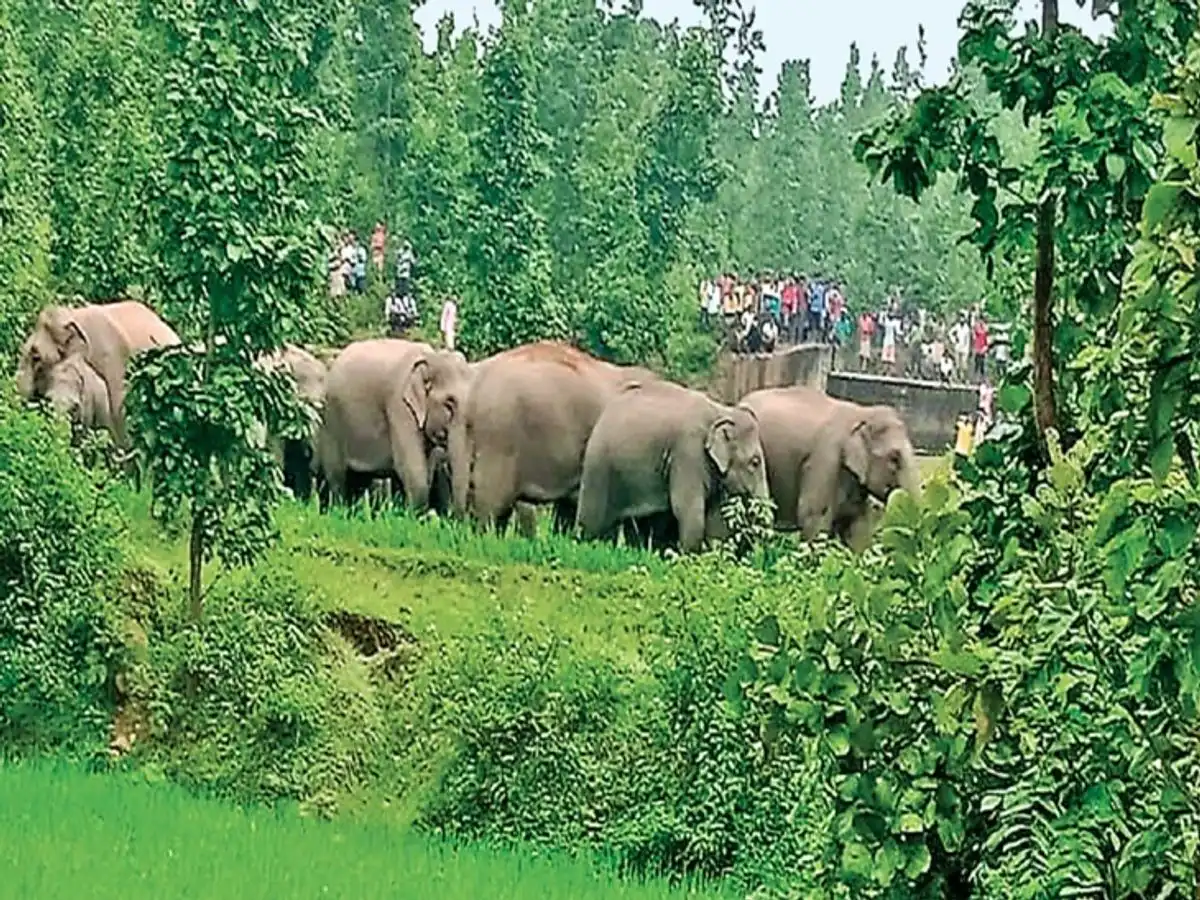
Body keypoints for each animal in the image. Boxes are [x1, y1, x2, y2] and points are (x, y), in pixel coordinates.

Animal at [316, 338, 471, 511]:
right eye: (449, 403)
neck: (431, 356)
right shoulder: (399, 405)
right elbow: (411, 468)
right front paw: (414, 515)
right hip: (331, 421)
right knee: (338, 475)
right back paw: (339, 509)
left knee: (359, 480)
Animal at [576, 381, 770, 554]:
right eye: (755, 462)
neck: (721, 411)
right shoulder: (688, 452)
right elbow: (687, 508)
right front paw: (689, 558)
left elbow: (716, 516)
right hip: (599, 462)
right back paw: (586, 542)